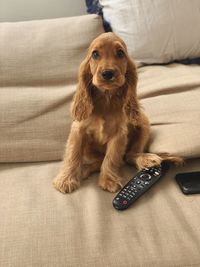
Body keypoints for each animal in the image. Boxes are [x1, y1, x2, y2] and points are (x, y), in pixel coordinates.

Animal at [52, 32, 181, 194]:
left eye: (120, 53)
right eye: (95, 54)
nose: (108, 73)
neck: (106, 98)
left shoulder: (119, 134)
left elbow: (112, 157)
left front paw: (108, 180)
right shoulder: (78, 130)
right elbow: (73, 154)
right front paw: (66, 179)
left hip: (144, 123)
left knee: (128, 156)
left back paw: (146, 159)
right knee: (100, 160)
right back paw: (84, 170)